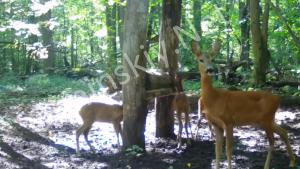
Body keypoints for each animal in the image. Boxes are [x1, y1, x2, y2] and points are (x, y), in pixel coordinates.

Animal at [191, 40, 296, 169]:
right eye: (200, 59)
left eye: (213, 59)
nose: (210, 70)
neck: (214, 99)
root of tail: (278, 98)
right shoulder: (216, 124)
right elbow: (217, 149)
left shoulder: (229, 121)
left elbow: (228, 149)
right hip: (266, 120)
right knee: (283, 132)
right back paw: (292, 162)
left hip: (266, 119)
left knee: (272, 141)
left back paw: (267, 166)